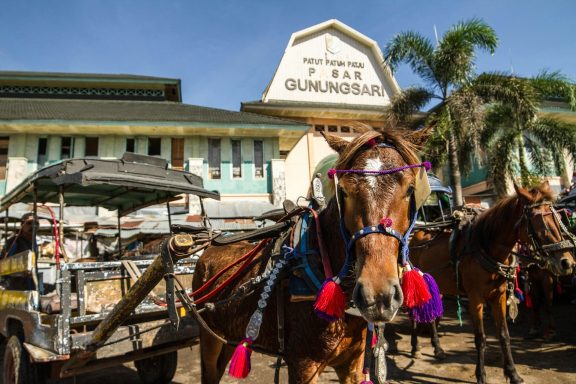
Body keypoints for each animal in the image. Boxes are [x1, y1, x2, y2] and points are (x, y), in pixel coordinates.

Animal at [191, 124, 430, 382]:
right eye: (344, 191)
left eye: (410, 189)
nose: (378, 295)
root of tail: (208, 247)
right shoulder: (303, 364)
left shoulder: (352, 363)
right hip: (209, 336)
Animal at [410, 182, 576, 384]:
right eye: (539, 221)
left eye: (557, 217)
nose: (567, 263)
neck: (485, 247)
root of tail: (416, 234)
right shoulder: (475, 299)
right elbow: (480, 338)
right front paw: (481, 374)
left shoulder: (499, 296)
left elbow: (504, 335)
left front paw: (513, 373)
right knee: (413, 314)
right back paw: (415, 347)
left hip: (436, 286)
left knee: (432, 314)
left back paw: (438, 348)